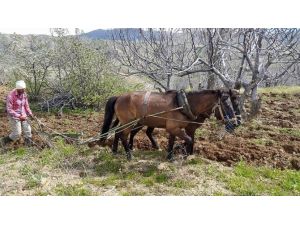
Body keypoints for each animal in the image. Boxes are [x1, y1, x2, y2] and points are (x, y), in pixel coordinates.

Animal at [101, 89, 241, 161]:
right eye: (226, 104)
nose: (235, 122)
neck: (184, 105)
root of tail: (119, 96)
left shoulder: (175, 128)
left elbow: (173, 141)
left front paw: (170, 156)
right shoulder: (177, 128)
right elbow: (189, 140)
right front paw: (183, 152)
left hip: (130, 122)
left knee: (118, 133)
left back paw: (115, 150)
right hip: (129, 123)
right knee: (123, 135)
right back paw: (129, 155)